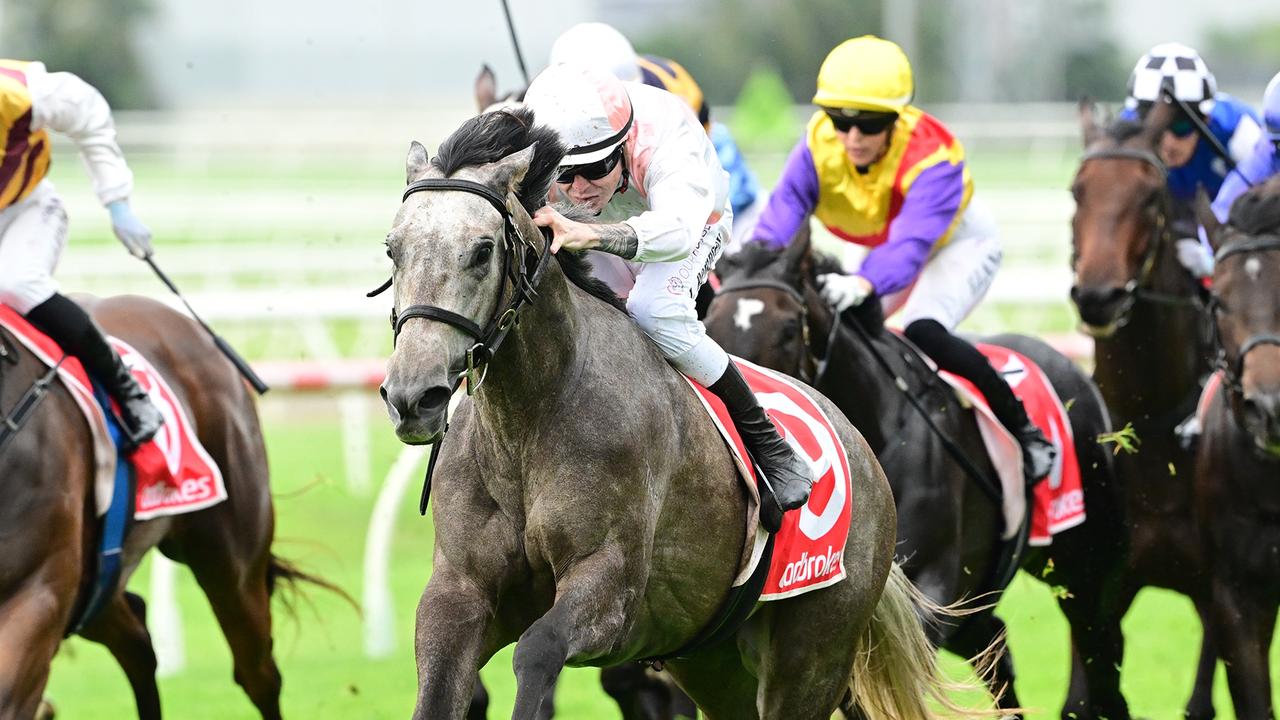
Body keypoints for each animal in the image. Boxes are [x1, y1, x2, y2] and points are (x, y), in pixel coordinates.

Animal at [373, 106, 983, 717]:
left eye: (481, 251)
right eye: (392, 249)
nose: (413, 396)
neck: (530, 423)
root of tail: (861, 448)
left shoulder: (611, 587)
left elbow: (538, 650)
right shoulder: (459, 591)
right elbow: (442, 683)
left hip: (814, 653)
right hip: (715, 662)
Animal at [706, 230, 1126, 717]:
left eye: (790, 327)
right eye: (710, 324)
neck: (880, 430)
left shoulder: (928, 591)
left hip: (1084, 562)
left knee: (1100, 646)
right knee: (999, 649)